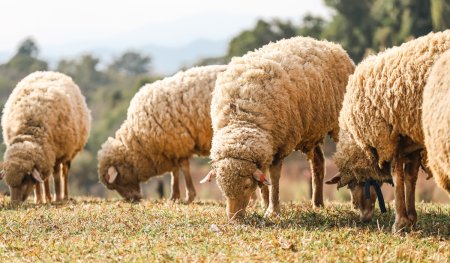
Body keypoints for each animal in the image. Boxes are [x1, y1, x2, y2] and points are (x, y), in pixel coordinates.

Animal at [0, 71, 90, 205]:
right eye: (8, 184)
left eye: (24, 180)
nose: (14, 204)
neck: (29, 133)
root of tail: (50, 72)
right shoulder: (43, 156)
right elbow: (38, 183)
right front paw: (38, 199)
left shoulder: (59, 153)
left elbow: (56, 176)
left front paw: (58, 198)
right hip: (47, 155)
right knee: (45, 177)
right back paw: (47, 197)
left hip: (68, 152)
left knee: (64, 174)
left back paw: (64, 196)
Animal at [97, 65, 227, 203]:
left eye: (117, 182)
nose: (133, 199)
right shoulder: (171, 147)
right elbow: (175, 170)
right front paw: (174, 196)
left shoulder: (177, 142)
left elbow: (183, 167)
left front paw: (188, 196)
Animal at [202, 36, 356, 220]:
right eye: (222, 187)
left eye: (246, 185)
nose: (234, 219)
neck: (241, 118)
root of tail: (330, 44)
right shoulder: (265, 148)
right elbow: (262, 181)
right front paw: (264, 204)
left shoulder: (280, 145)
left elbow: (274, 178)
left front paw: (273, 210)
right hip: (312, 131)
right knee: (318, 162)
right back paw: (317, 203)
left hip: (340, 124)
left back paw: (355, 204)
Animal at [326, 30, 450, 233]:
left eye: (352, 183)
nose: (364, 217)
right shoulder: (408, 140)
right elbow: (411, 177)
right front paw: (412, 218)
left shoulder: (387, 140)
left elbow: (398, 177)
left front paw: (400, 223)